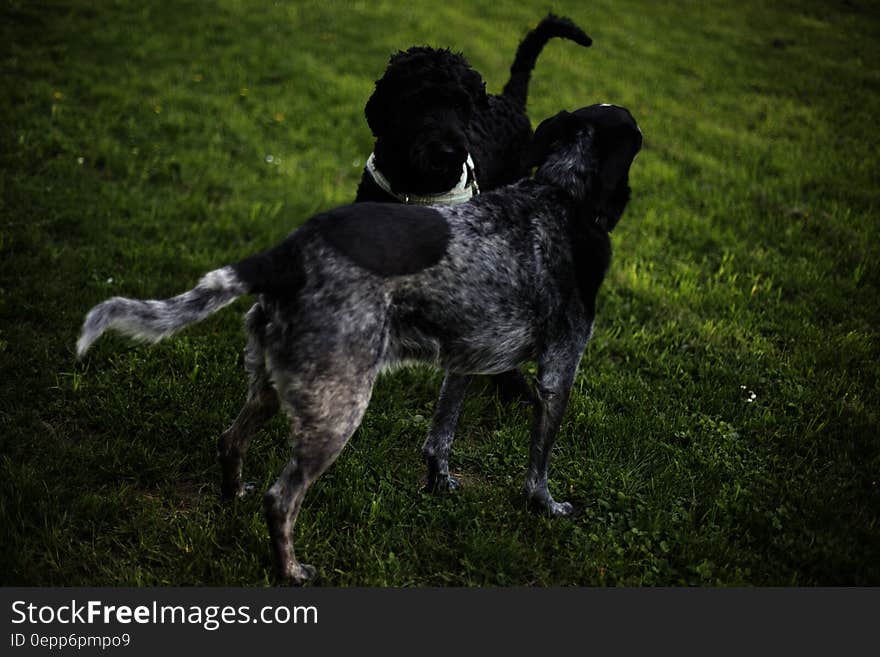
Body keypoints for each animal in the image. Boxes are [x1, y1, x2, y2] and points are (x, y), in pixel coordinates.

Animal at [79, 104, 644, 584]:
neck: (562, 195)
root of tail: (285, 255)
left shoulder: (466, 360)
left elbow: (440, 436)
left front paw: (439, 484)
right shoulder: (558, 371)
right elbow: (538, 467)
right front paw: (546, 509)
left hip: (273, 385)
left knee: (229, 441)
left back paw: (231, 498)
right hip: (340, 407)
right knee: (281, 498)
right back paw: (291, 571)